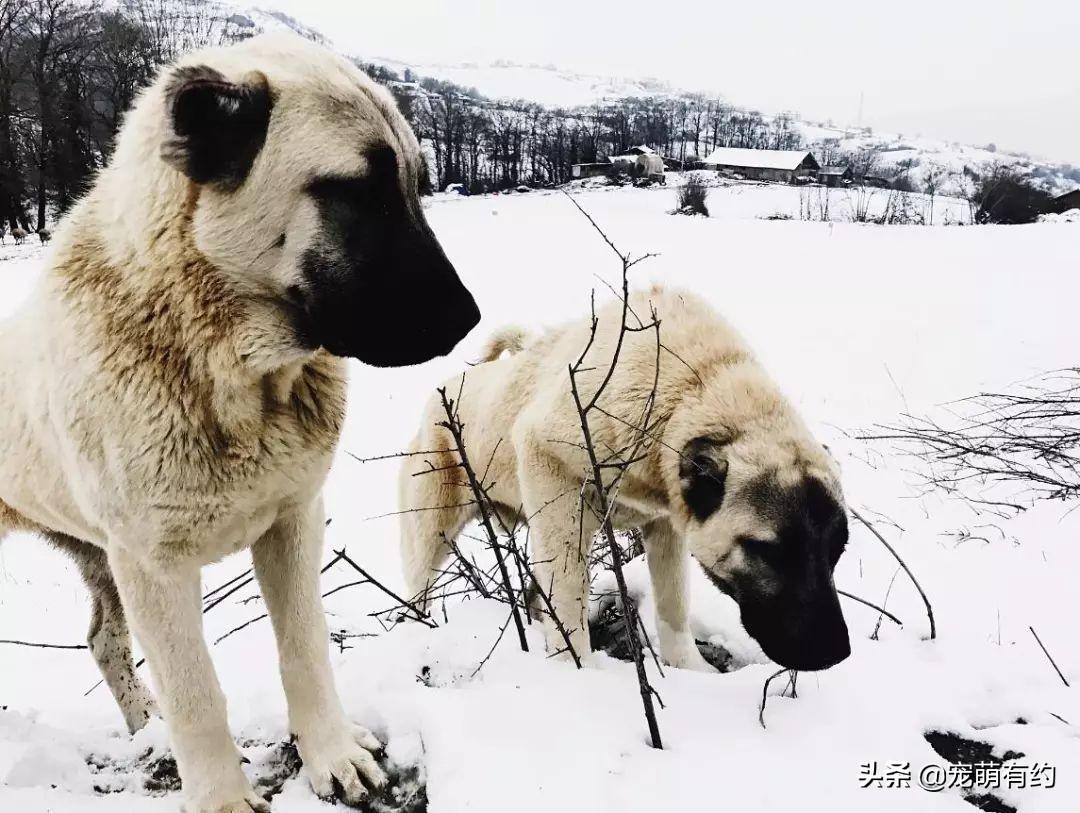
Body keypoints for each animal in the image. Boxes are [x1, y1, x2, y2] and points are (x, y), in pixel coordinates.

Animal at [401, 285, 846, 673]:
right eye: (768, 551)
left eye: (837, 549)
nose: (836, 652)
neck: (686, 389)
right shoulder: (551, 474)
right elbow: (569, 594)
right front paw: (577, 671)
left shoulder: (667, 524)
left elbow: (673, 606)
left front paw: (689, 669)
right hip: (431, 535)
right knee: (418, 594)